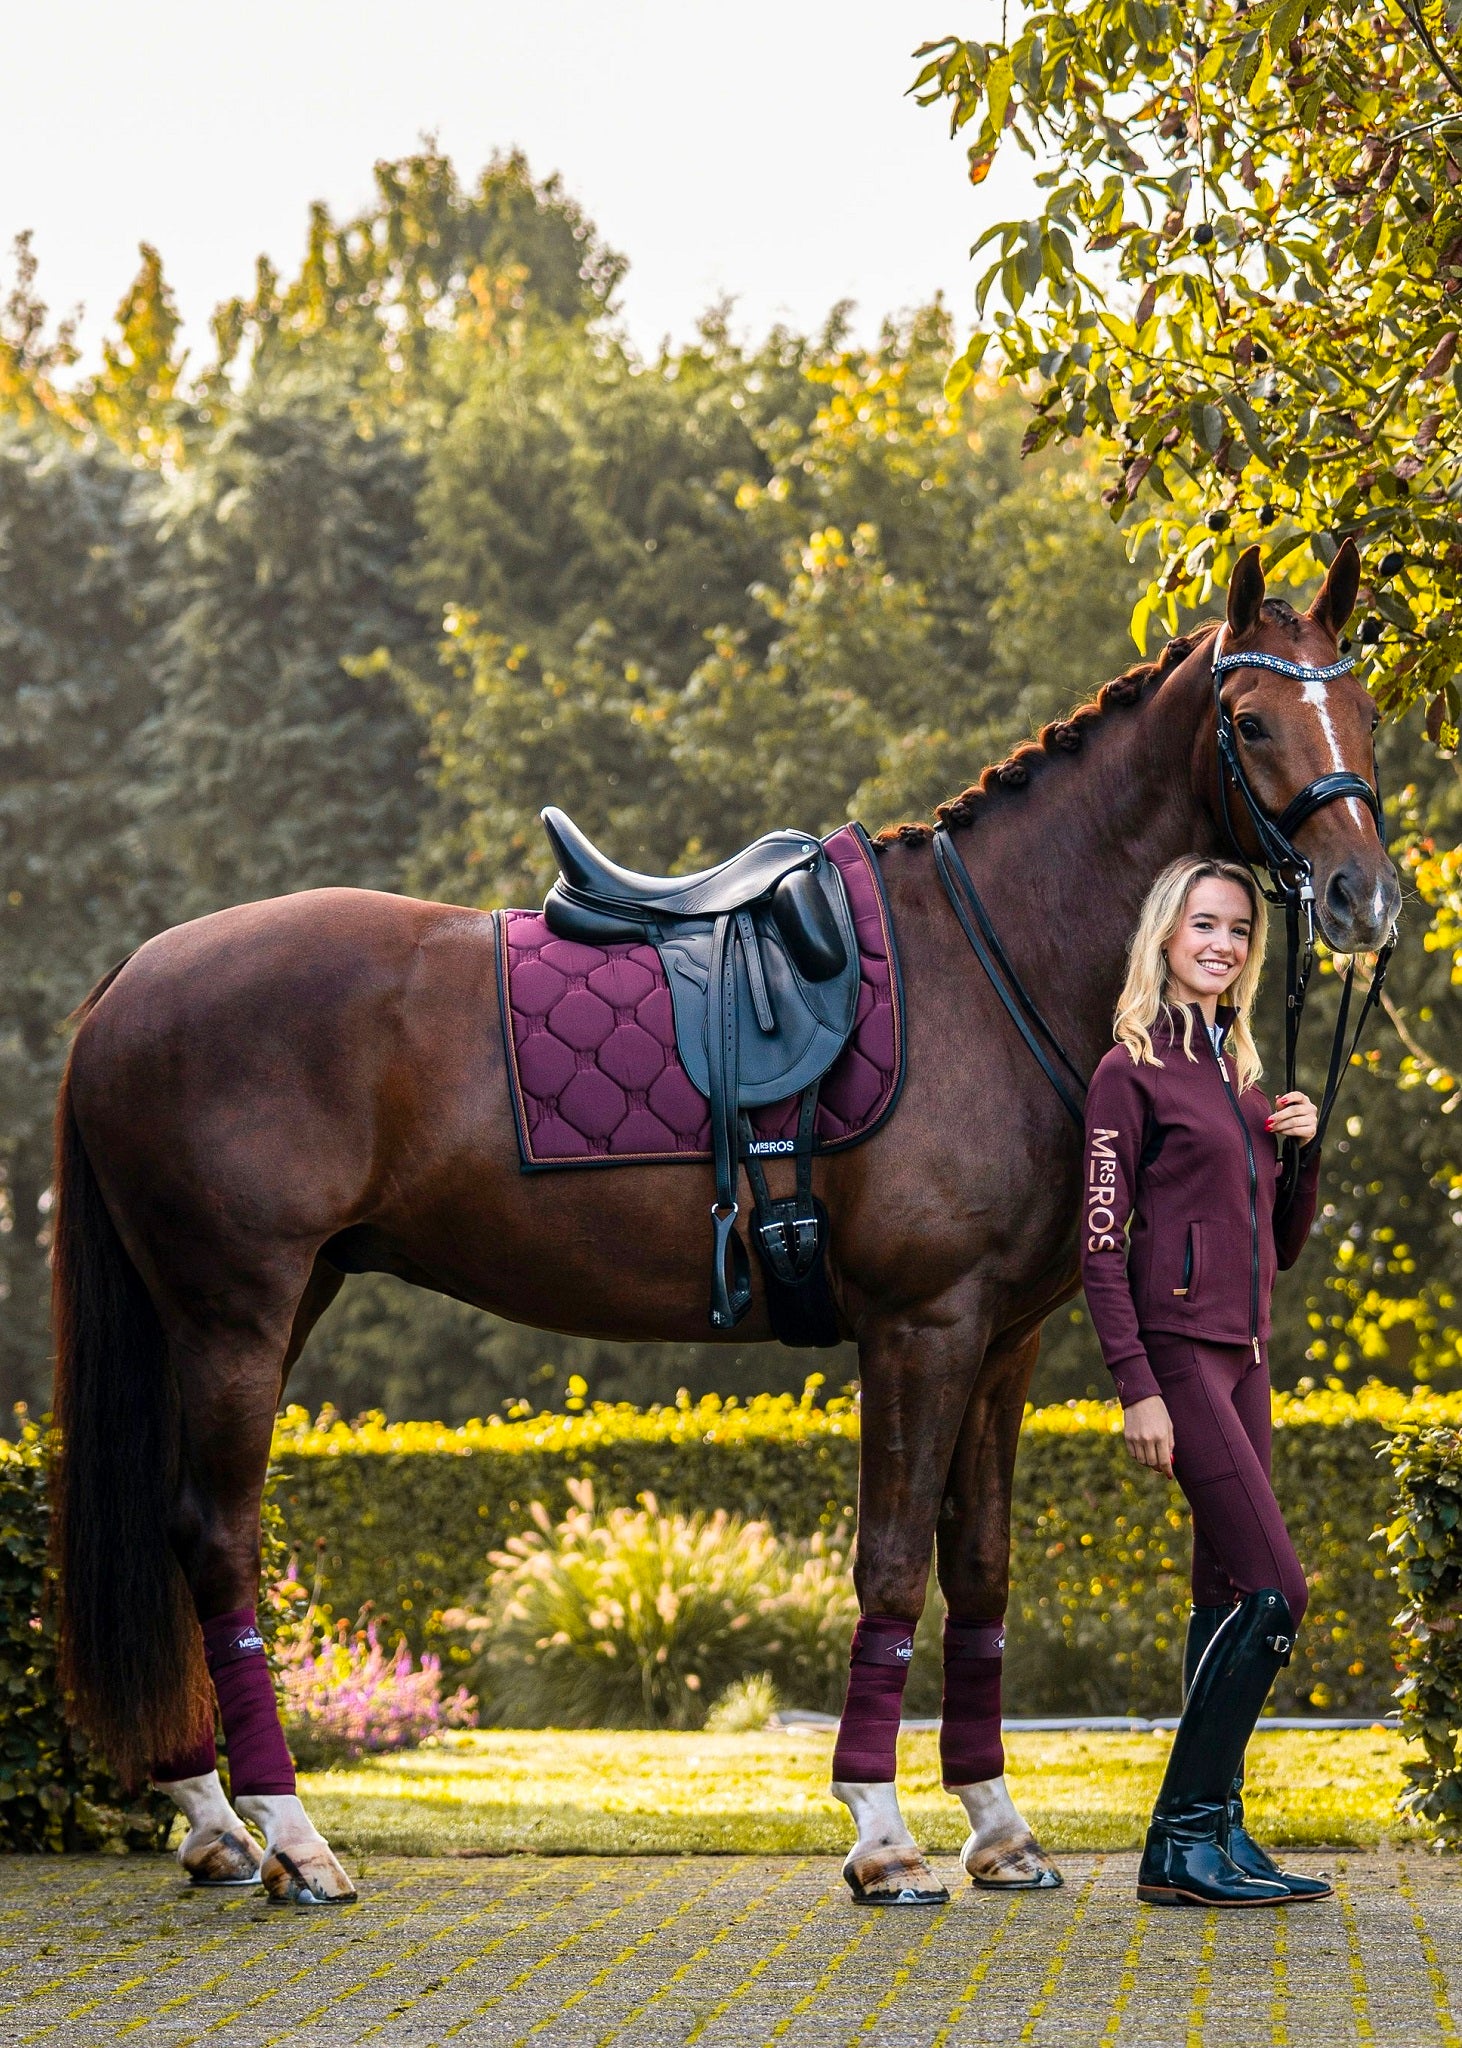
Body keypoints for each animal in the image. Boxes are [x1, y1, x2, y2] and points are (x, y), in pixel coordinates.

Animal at [48, 544, 1392, 1900]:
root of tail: (129, 980)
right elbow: (891, 1563)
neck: (988, 965)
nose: (1362, 896)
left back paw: (212, 1820)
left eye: (1367, 708)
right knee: (218, 1540)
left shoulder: (1002, 1344)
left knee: (174, 1535)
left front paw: (999, 1826)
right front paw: (881, 1834)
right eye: (1250, 719)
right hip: (238, 1309)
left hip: (262, 1301)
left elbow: (980, 1569)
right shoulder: (920, 1326)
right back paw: (289, 1833)